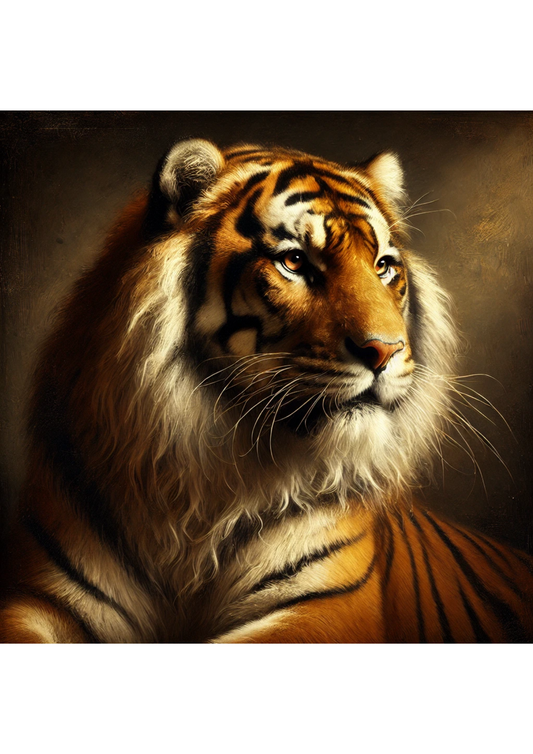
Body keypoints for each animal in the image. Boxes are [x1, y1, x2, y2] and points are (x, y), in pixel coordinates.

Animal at [0, 138, 532, 643]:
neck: (195, 486)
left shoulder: (326, 607)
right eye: (294, 261)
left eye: (383, 266)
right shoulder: (39, 596)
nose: (385, 350)